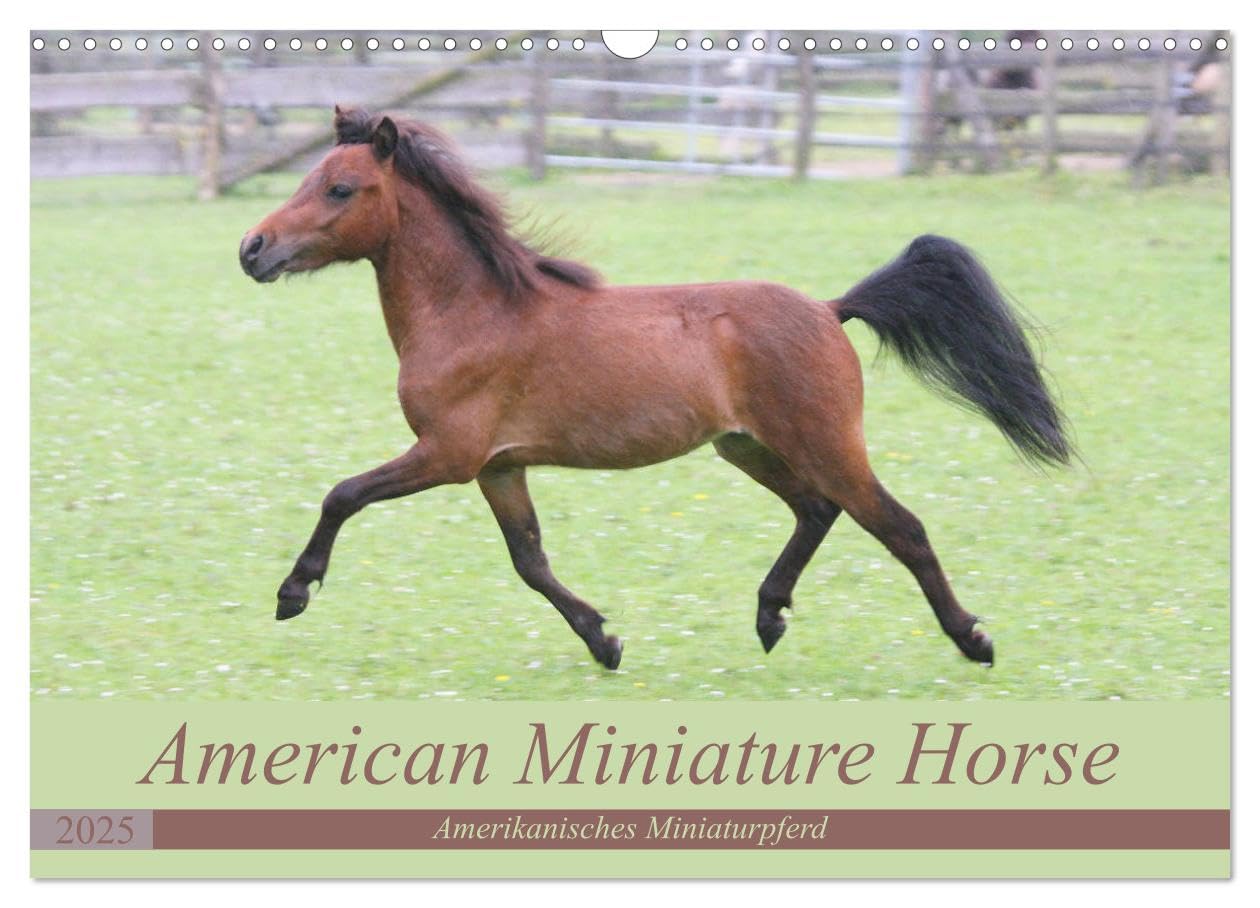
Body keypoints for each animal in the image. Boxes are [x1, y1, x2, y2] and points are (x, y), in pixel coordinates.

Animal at [239, 106, 1072, 671]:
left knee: (902, 528)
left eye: (341, 188)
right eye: (308, 179)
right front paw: (603, 640)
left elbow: (342, 495)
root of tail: (831, 309)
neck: (474, 311)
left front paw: (293, 593)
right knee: (817, 510)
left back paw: (972, 639)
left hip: (825, 442)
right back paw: (770, 617)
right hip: (748, 447)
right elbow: (530, 561)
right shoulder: (499, 466)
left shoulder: (448, 454)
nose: (253, 248)